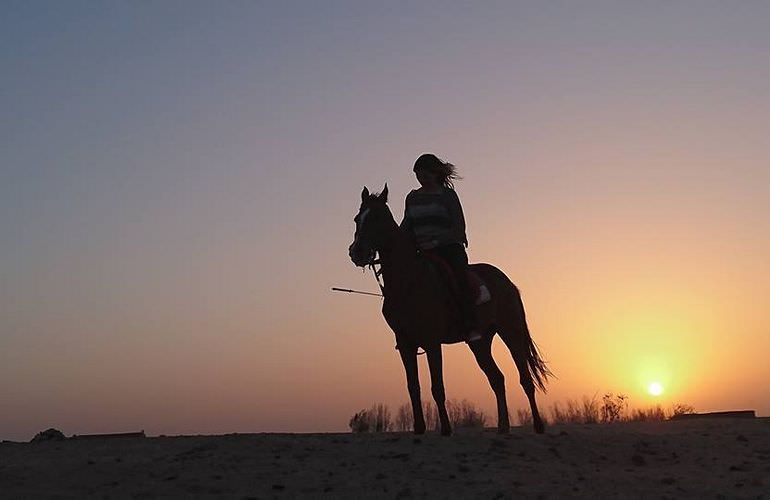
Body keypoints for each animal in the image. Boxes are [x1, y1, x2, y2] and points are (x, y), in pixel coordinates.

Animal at [344, 186, 548, 436]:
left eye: (377, 217)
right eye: (358, 219)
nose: (357, 252)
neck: (409, 281)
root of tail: (507, 282)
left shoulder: (432, 342)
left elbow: (437, 387)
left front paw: (446, 429)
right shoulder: (405, 344)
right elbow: (413, 387)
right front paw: (419, 429)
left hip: (511, 332)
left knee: (525, 379)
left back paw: (538, 425)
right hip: (479, 343)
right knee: (497, 379)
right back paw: (502, 428)